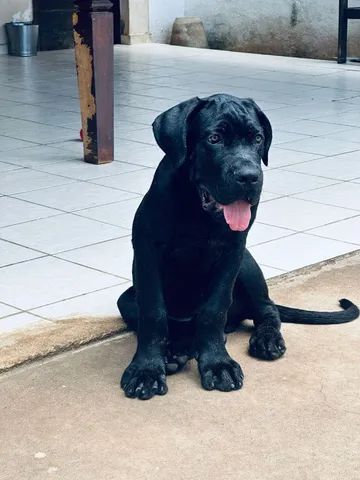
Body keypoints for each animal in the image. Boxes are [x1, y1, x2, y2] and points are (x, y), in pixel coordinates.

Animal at [117, 94, 358, 402]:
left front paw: (218, 364)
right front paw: (146, 369)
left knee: (266, 309)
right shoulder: (148, 252)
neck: (197, 209)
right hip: (126, 300)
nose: (249, 176)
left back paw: (264, 339)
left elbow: (214, 310)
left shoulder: (232, 253)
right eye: (214, 138)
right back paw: (176, 351)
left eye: (257, 138)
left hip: (247, 266)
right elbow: (153, 312)